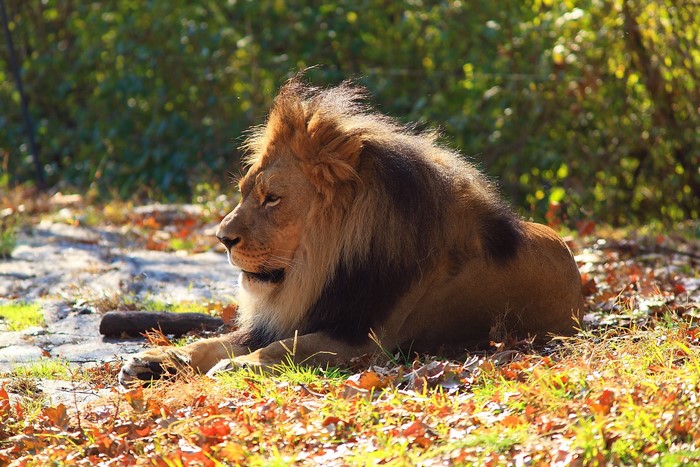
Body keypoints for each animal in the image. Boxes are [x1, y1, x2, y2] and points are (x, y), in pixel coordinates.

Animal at [119, 78, 583, 386]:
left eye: (272, 198)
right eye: (245, 192)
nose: (222, 238)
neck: (318, 266)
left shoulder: (365, 342)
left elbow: (288, 347)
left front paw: (238, 366)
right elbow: (214, 341)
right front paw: (158, 358)